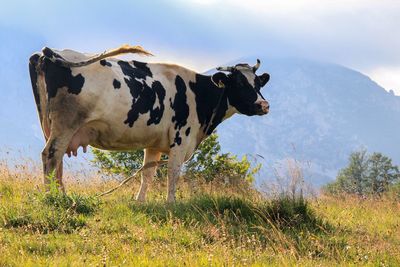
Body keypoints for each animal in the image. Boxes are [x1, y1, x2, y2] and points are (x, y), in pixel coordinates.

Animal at [28, 44, 270, 203]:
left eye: (258, 83)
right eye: (240, 82)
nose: (264, 105)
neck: (198, 94)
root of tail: (48, 52)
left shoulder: (154, 144)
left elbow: (148, 173)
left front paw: (140, 201)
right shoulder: (181, 139)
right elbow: (173, 172)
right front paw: (171, 204)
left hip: (50, 125)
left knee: (57, 159)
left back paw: (62, 194)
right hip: (66, 123)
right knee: (50, 155)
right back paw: (52, 197)